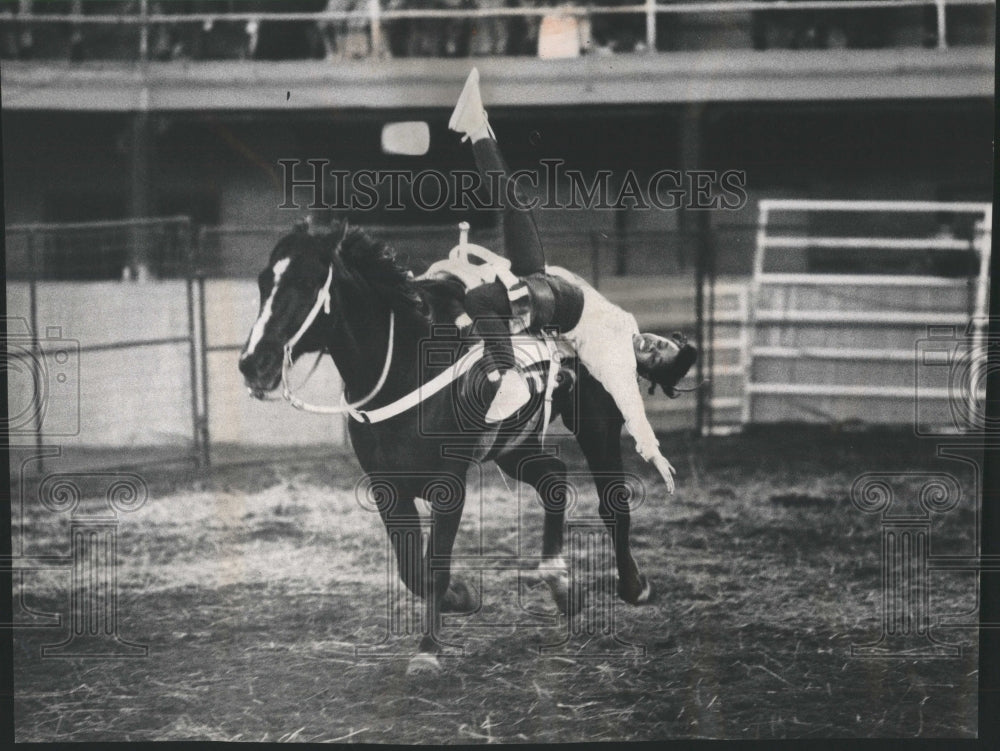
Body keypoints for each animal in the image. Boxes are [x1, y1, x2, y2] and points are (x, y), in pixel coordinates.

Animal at [240, 220, 680, 672]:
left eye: (307, 282)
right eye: (263, 282)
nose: (253, 363)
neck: (405, 366)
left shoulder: (449, 484)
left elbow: (433, 567)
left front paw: (428, 651)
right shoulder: (386, 487)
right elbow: (412, 570)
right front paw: (461, 598)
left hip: (597, 425)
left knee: (613, 504)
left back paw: (634, 586)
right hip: (512, 448)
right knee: (554, 480)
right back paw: (561, 584)